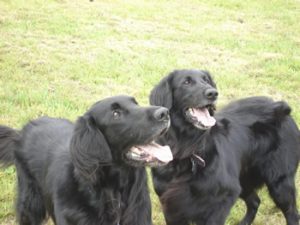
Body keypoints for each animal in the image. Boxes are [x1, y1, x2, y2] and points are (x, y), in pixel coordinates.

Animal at [0, 95, 173, 225]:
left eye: (136, 103)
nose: (164, 113)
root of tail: (20, 133)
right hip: (30, 204)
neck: (112, 191)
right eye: (116, 113)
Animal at [150, 70, 300, 225]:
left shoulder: (221, 201)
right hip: (244, 180)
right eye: (186, 82)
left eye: (206, 80)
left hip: (279, 183)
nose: (213, 93)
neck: (189, 148)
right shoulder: (171, 206)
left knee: (292, 214)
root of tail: (281, 107)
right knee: (255, 201)